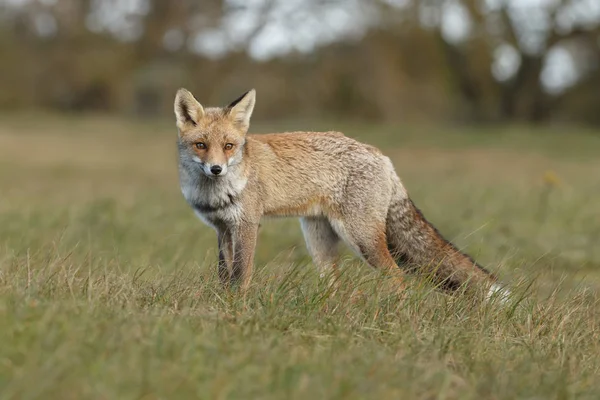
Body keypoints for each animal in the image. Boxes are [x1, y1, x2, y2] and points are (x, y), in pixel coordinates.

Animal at [173, 88, 506, 300]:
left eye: (229, 146)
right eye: (201, 145)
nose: (216, 169)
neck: (216, 191)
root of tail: (380, 154)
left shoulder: (246, 224)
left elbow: (241, 276)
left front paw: (237, 311)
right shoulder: (221, 227)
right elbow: (224, 274)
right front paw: (223, 305)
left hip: (361, 237)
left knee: (398, 279)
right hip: (318, 241)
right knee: (336, 286)